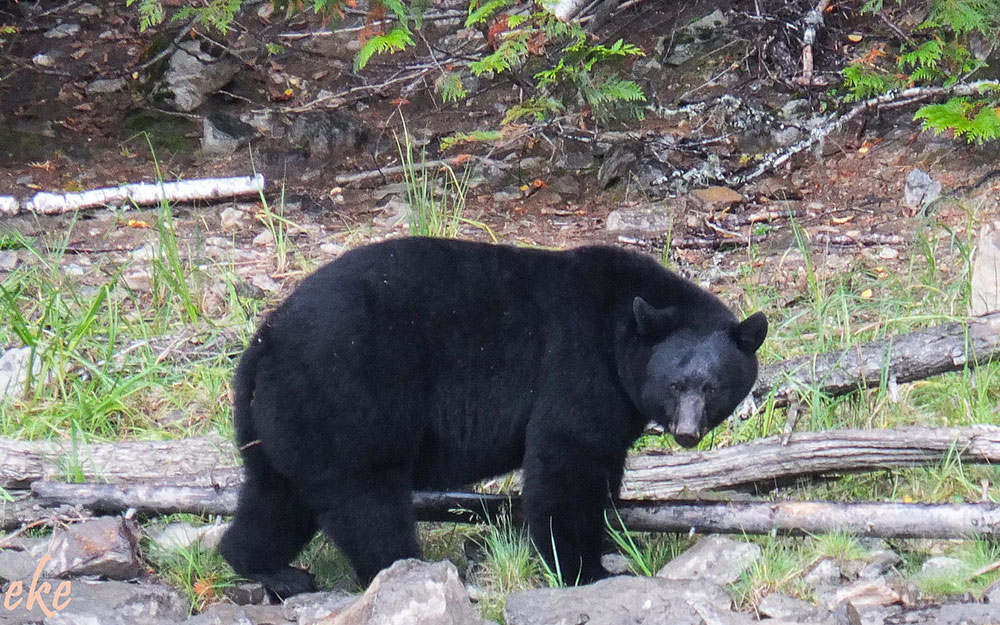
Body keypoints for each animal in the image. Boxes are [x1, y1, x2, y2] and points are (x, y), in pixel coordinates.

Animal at [219, 236, 764, 596]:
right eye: (675, 384)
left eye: (712, 387)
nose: (687, 432)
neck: (619, 332)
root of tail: (265, 341)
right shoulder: (576, 365)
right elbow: (566, 461)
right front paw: (585, 569)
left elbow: (603, 464)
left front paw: (610, 540)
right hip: (348, 397)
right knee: (366, 499)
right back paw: (404, 568)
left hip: (285, 420)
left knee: (277, 495)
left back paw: (266, 567)